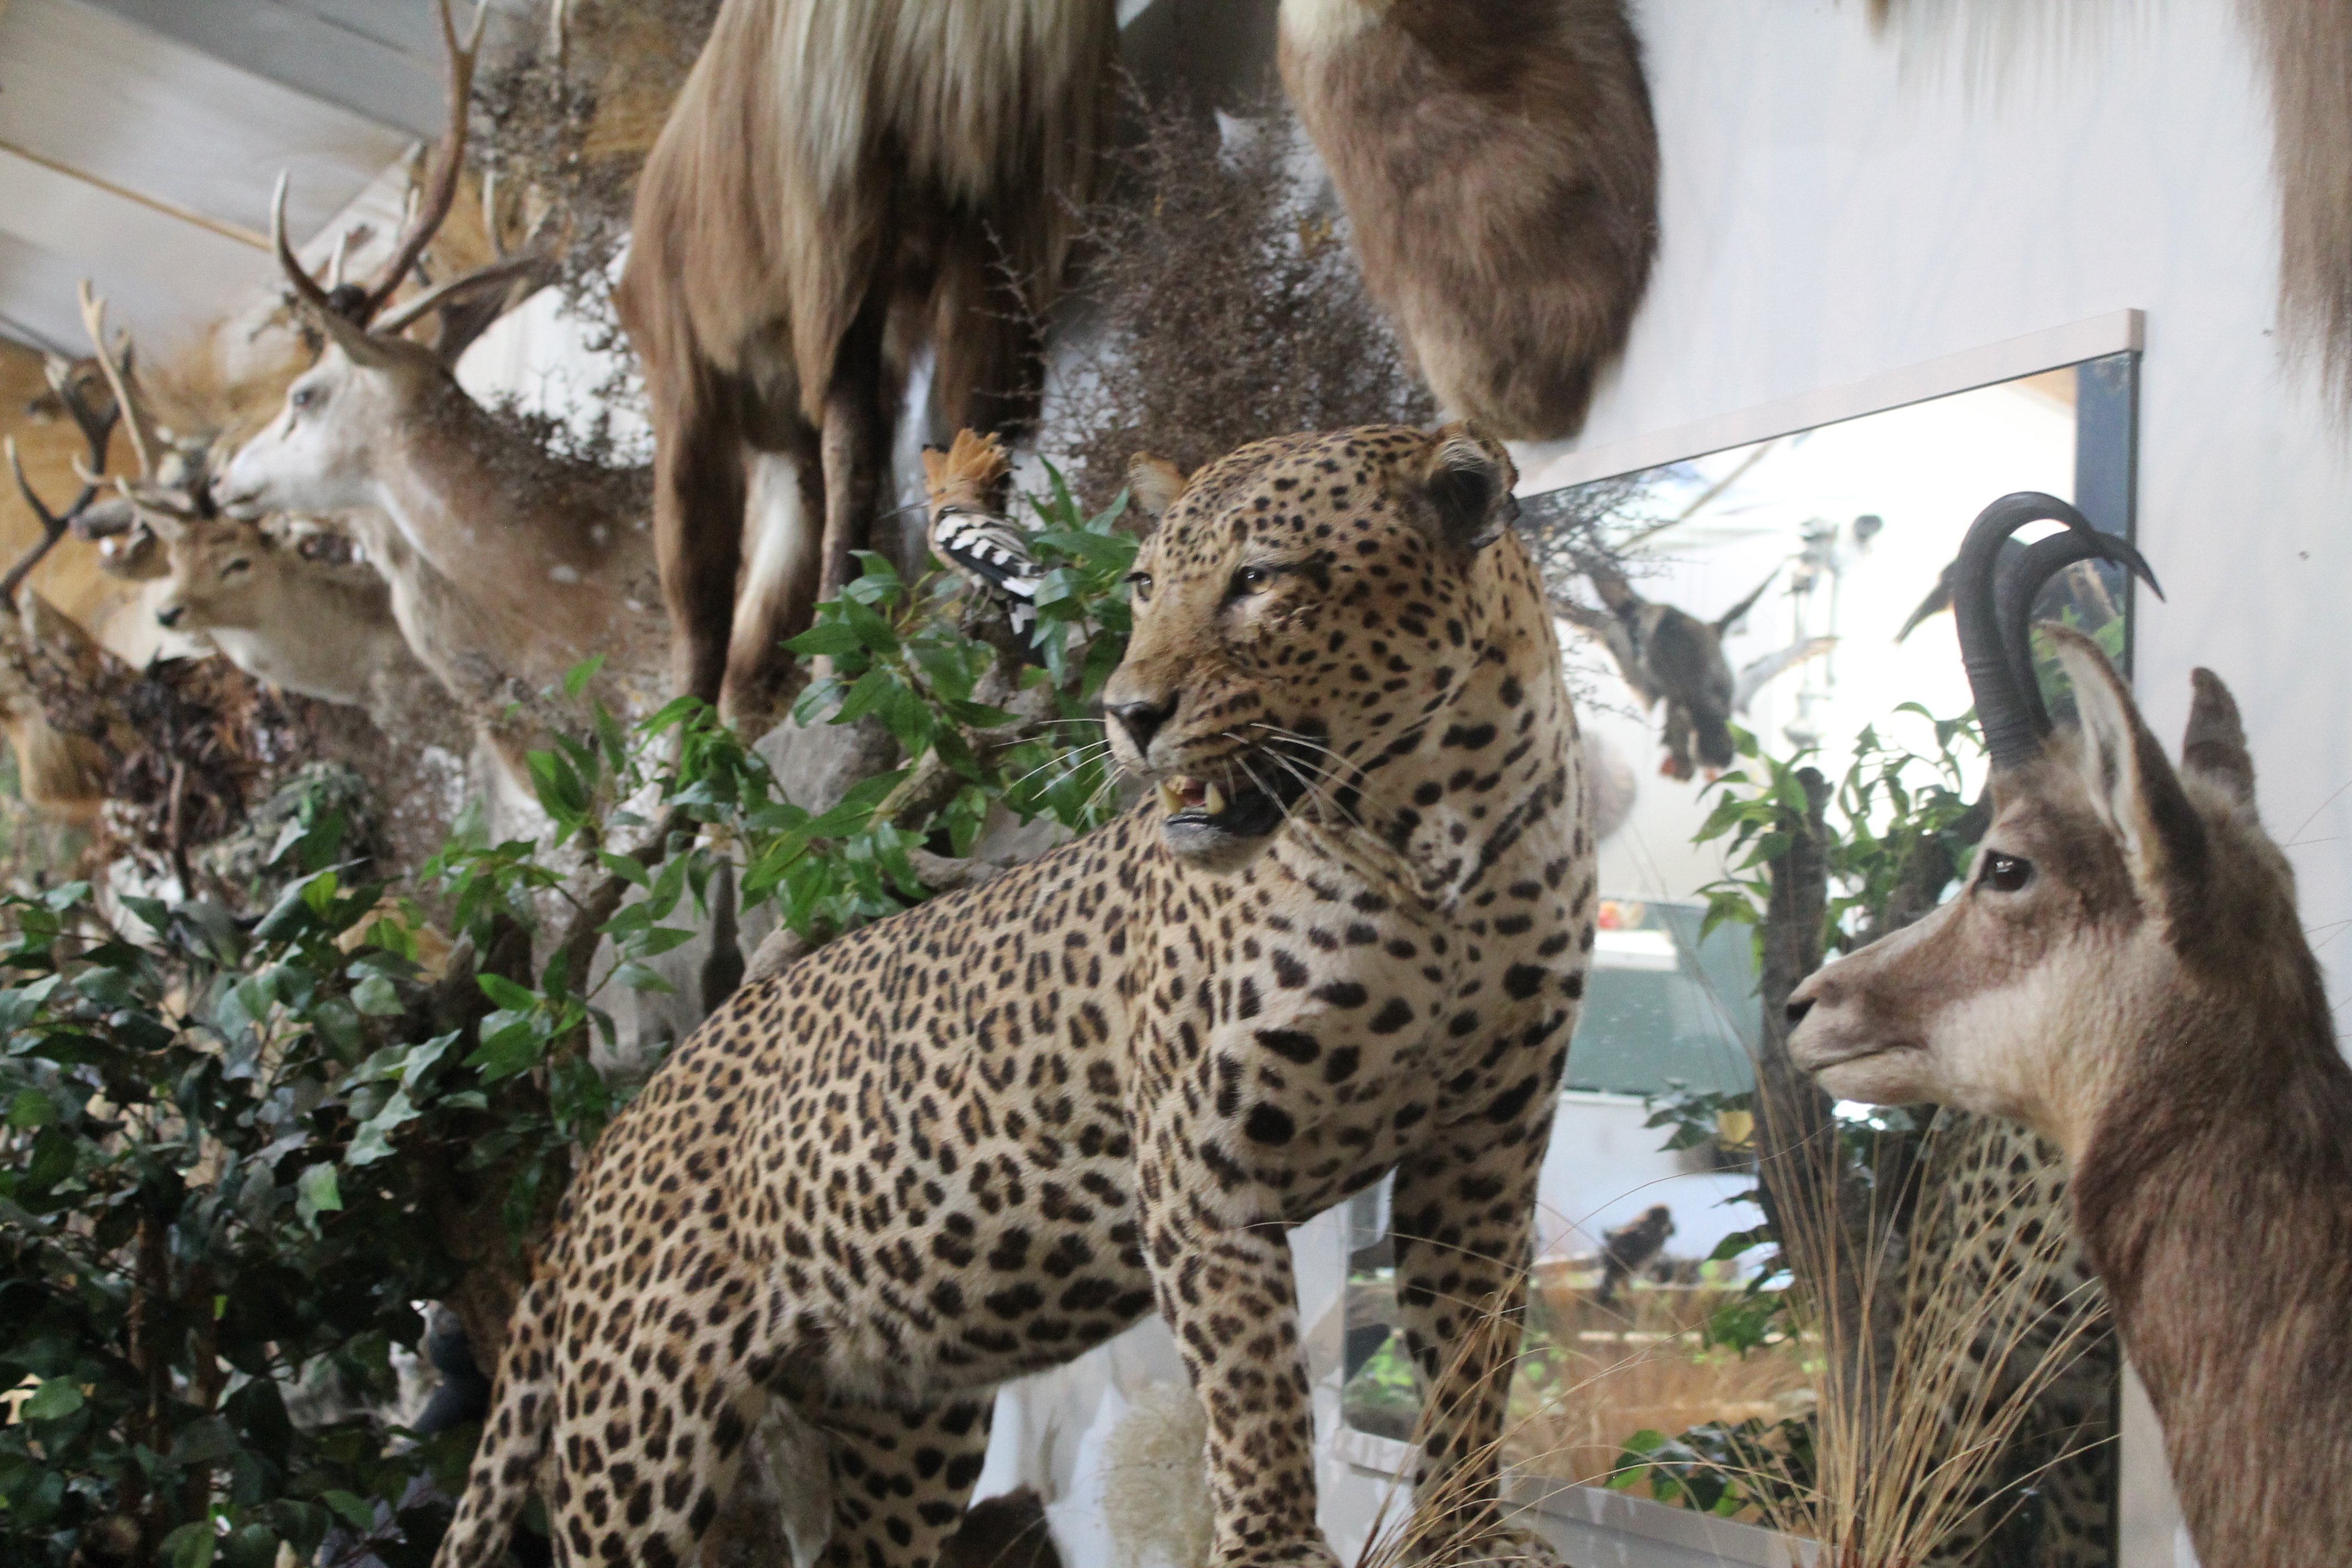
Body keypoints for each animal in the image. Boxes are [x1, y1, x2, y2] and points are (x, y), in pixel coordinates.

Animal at [432, 423, 1598, 1568]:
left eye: (1260, 579)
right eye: (1142, 584)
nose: (1127, 712)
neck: (1429, 847)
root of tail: (596, 1162)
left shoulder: (1482, 1152)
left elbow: (1471, 1357)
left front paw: (1466, 1532)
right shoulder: (1200, 1170)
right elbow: (1254, 1394)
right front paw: (1275, 1551)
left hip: (909, 1414)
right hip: (642, 1432)